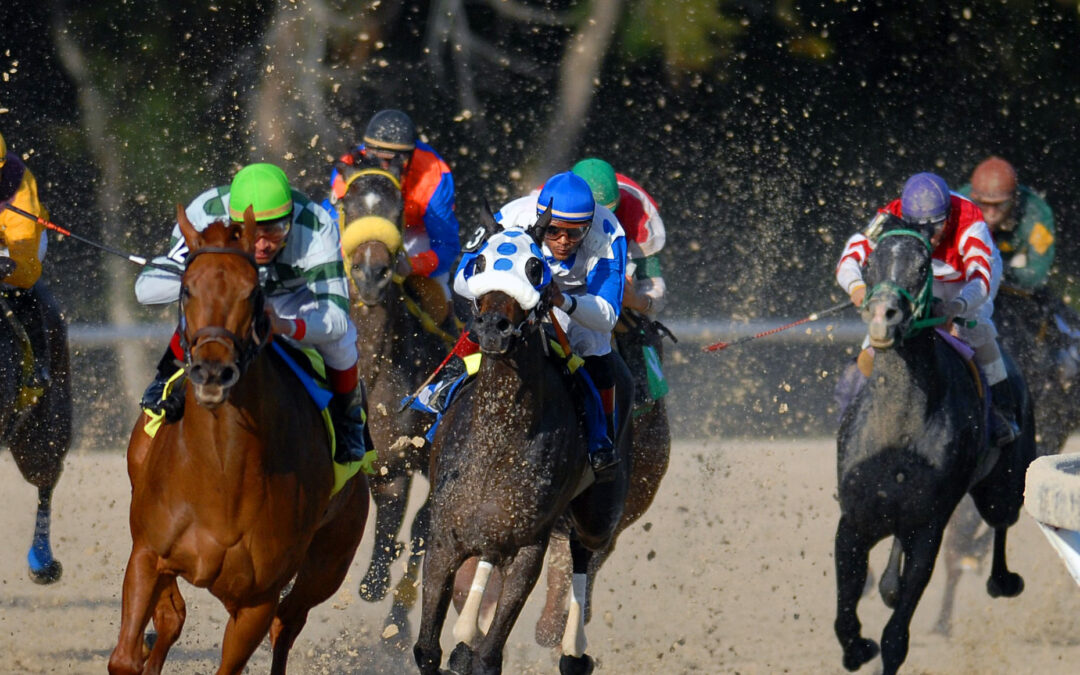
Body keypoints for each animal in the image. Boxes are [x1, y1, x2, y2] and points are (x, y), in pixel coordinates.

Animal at [108, 208, 371, 669]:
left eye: (252, 293)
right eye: (188, 289)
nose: (213, 371)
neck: (220, 474)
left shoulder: (256, 599)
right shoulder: (147, 554)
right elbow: (129, 652)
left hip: (329, 562)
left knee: (288, 621)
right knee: (174, 616)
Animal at [414, 221, 630, 673]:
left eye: (535, 267)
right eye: (478, 261)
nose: (492, 327)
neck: (499, 439)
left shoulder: (529, 548)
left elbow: (488, 657)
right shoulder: (444, 538)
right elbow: (427, 649)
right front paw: (457, 644)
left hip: (600, 512)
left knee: (584, 550)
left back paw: (573, 650)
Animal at [829, 227, 1032, 673]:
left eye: (923, 266)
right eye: (870, 263)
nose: (883, 316)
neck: (899, 426)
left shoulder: (927, 528)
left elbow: (895, 637)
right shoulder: (855, 521)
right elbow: (845, 618)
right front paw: (857, 647)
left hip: (1004, 486)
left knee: (1003, 520)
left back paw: (1003, 580)